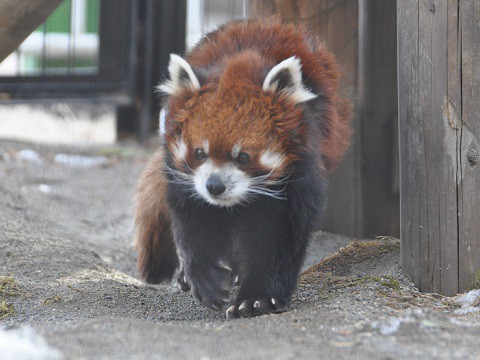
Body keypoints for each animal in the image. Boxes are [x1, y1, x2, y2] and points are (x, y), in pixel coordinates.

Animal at [133, 18, 350, 320]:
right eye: (200, 152)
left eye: (244, 156)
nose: (214, 186)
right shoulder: (185, 180)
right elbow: (194, 224)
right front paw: (207, 281)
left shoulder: (299, 175)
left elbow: (279, 236)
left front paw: (258, 298)